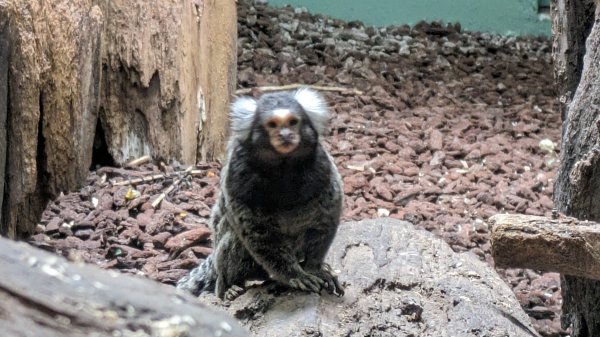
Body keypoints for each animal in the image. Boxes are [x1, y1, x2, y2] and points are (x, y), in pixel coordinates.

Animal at [176, 86, 344, 300]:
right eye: (272, 125)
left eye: (293, 122)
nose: (286, 135)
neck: (283, 167)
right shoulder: (237, 176)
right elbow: (258, 233)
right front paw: (295, 275)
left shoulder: (323, 168)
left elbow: (324, 220)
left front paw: (316, 269)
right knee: (233, 241)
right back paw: (228, 287)